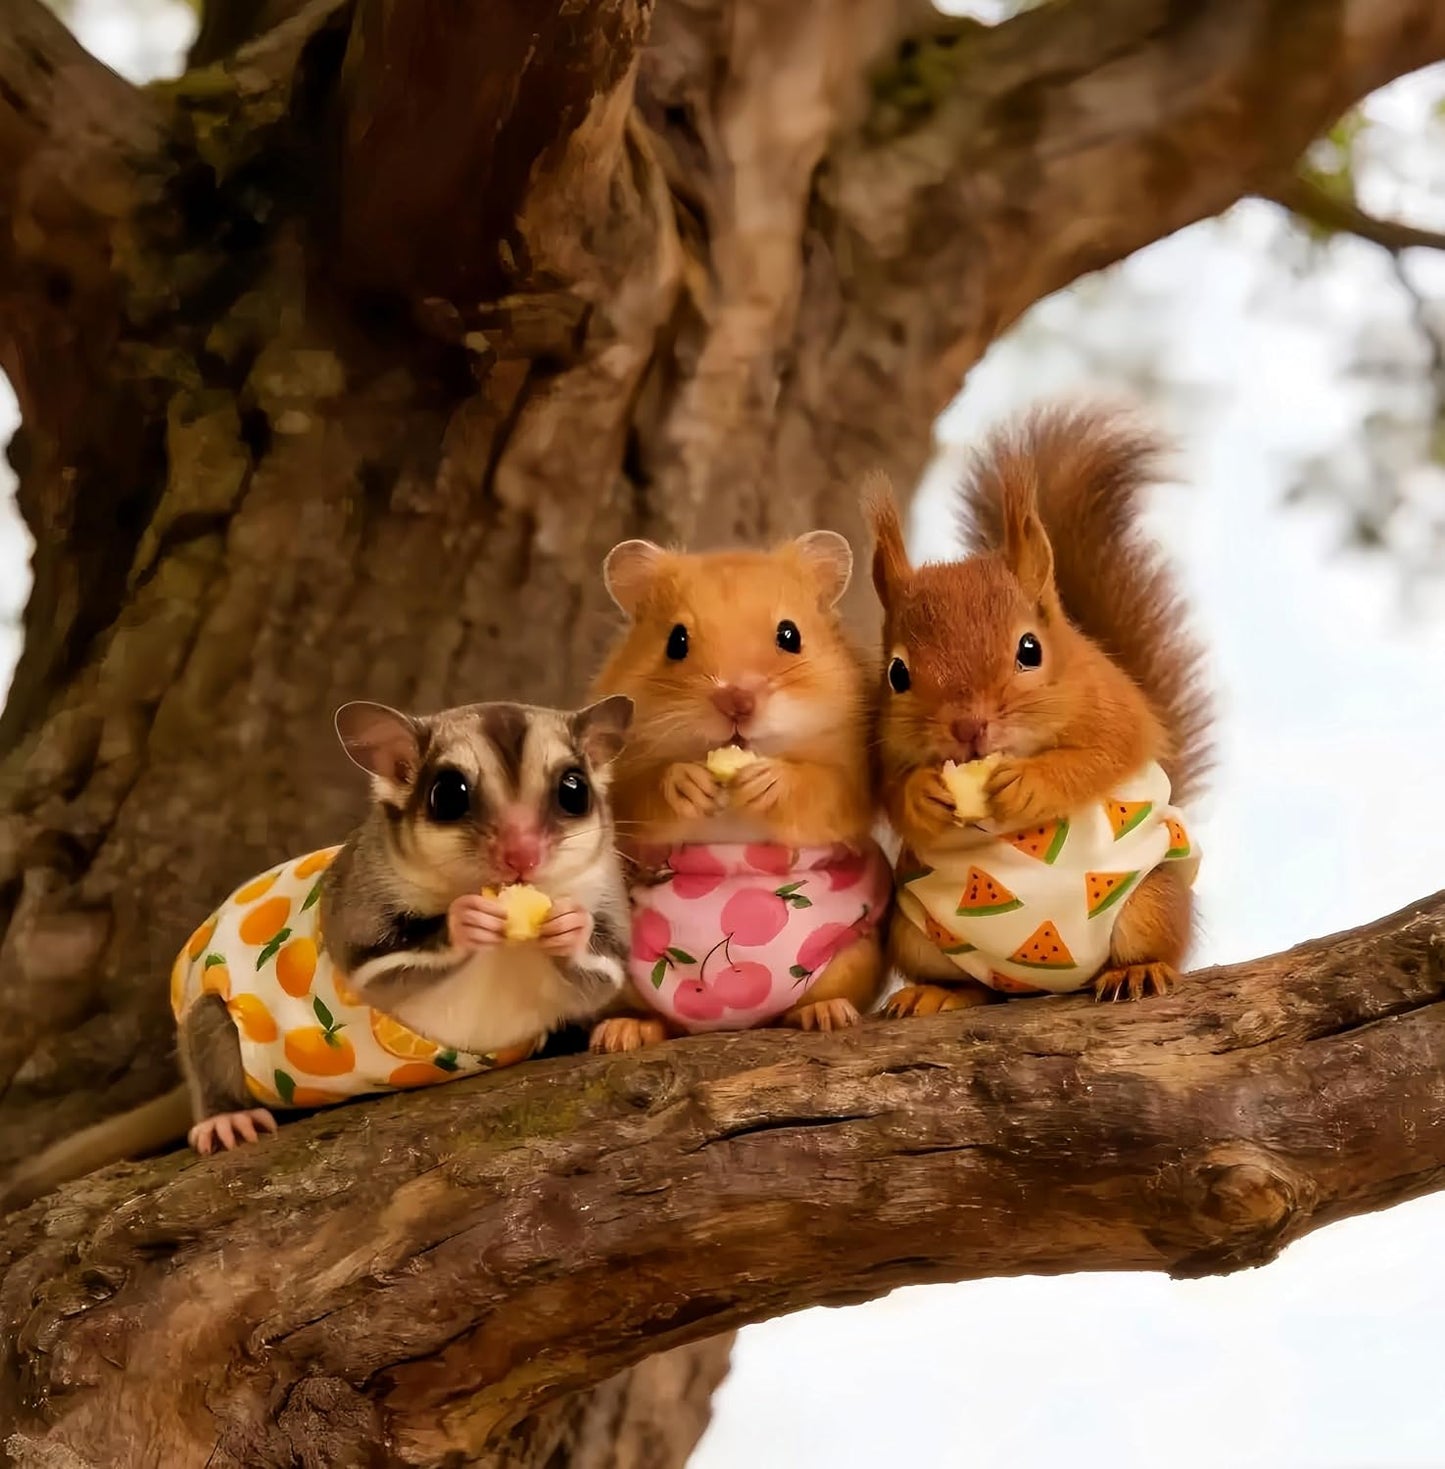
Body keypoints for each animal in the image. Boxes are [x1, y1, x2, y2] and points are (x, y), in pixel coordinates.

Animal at [3, 696, 634, 1211]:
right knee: (208, 1031)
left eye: (573, 790)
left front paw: (569, 928)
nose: (521, 856)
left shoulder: (609, 899)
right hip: (208, 1013)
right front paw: (463, 921)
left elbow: (603, 975)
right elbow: (373, 965)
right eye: (448, 795)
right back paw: (225, 1116)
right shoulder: (356, 902)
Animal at [586, 533, 891, 1051]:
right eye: (676, 641)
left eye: (789, 635)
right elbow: (646, 790)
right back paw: (622, 1033)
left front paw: (766, 780)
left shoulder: (854, 779)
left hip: (853, 955)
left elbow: (820, 787)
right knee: (657, 1020)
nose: (736, 701)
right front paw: (688, 782)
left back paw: (826, 1014)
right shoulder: (618, 786)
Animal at [867, 403, 1212, 1012]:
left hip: (1149, 903)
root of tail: (1039, 984)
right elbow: (890, 789)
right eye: (897, 674)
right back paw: (938, 993)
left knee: (1155, 943)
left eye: (1030, 650)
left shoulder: (1117, 709)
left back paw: (1138, 970)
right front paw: (924, 793)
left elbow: (1100, 757)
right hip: (916, 934)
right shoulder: (882, 742)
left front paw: (1032, 784)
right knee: (977, 988)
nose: (968, 727)